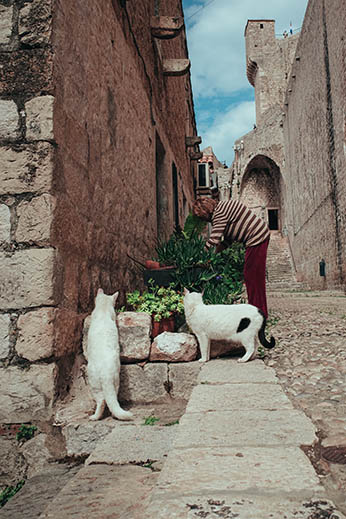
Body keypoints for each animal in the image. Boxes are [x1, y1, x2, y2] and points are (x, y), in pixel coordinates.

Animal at [86, 288, 133, 422]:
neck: (103, 310)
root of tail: (105, 373)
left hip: (94, 382)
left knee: (102, 401)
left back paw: (94, 417)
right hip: (115, 381)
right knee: (112, 399)